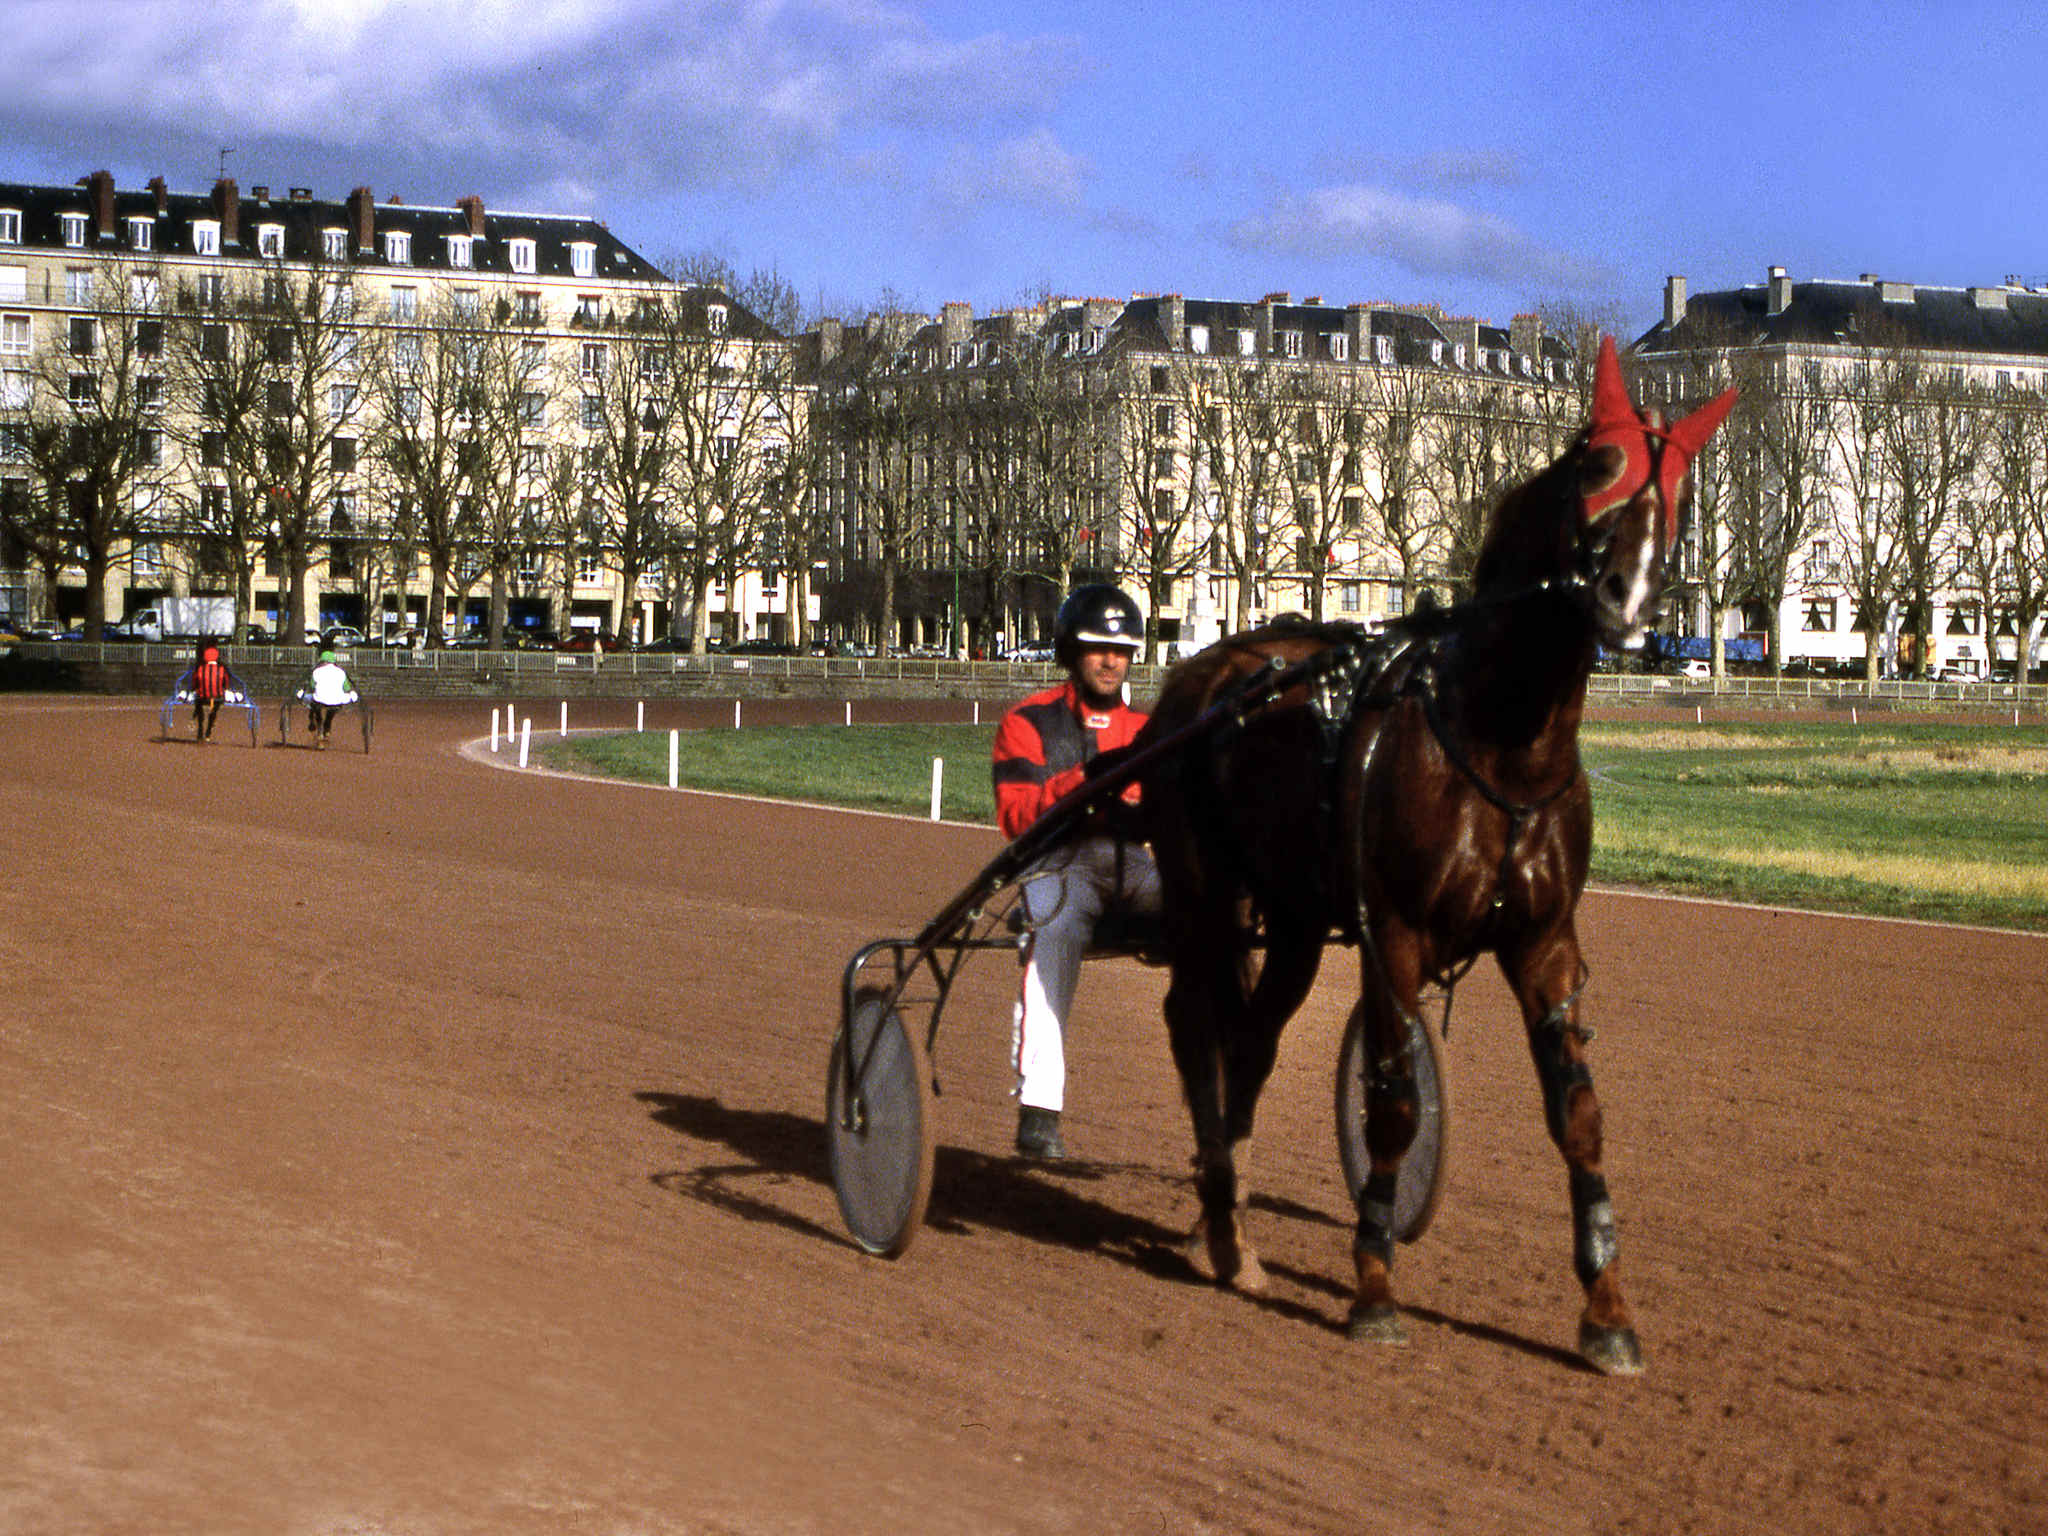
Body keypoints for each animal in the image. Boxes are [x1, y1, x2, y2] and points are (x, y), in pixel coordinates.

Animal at [1138, 342, 1728, 1376]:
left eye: (1682, 487)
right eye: (1597, 466)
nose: (1627, 600)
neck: (1503, 744)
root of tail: (1209, 671)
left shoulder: (1544, 944)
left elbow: (1579, 1117)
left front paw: (1607, 1310)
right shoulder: (1396, 939)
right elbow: (1395, 1107)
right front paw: (1374, 1284)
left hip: (1295, 923)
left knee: (1250, 1039)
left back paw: (1228, 1226)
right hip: (1206, 895)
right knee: (1194, 1021)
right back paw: (1217, 1202)